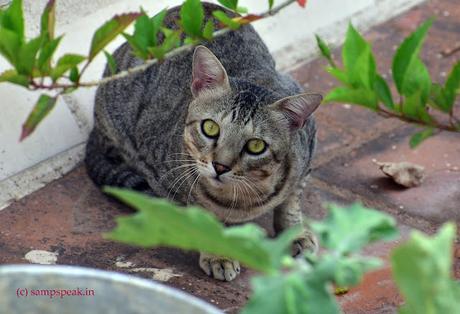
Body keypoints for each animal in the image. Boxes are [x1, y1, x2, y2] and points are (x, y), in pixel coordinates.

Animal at [87, 2, 324, 282]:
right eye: (210, 128)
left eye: (256, 146)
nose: (220, 166)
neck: (243, 198)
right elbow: (202, 219)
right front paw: (218, 254)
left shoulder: (307, 152)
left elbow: (290, 202)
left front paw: (294, 232)